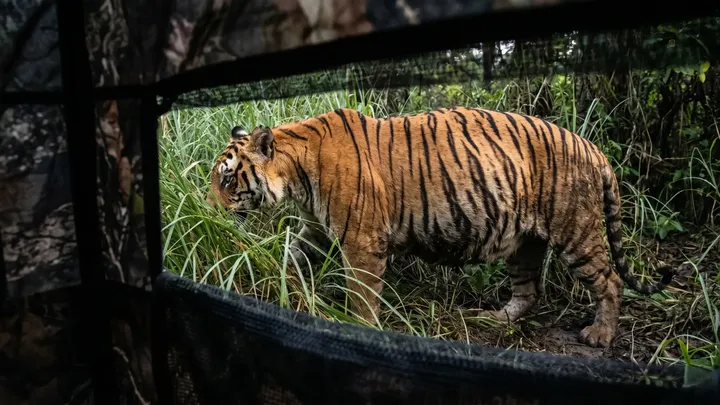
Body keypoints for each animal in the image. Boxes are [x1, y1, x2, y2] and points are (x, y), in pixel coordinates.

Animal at [207, 106, 674, 348]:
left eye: (227, 180)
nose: (208, 211)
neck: (296, 175)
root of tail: (593, 148)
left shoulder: (362, 241)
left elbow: (361, 295)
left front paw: (360, 328)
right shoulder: (317, 231)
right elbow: (293, 256)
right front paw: (273, 284)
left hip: (575, 230)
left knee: (611, 280)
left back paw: (600, 334)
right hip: (524, 240)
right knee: (529, 289)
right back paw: (497, 319)